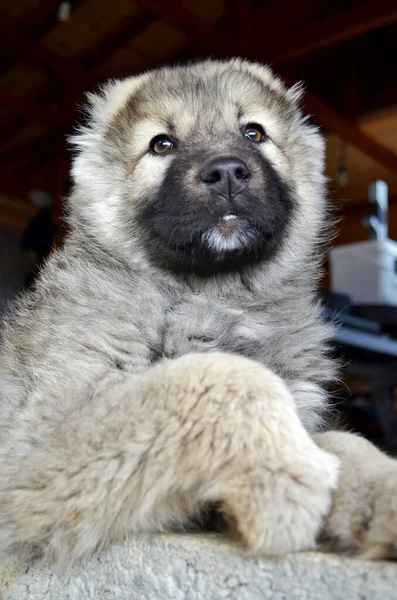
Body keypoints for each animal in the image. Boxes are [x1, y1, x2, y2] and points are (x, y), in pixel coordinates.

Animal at [0, 58, 396, 560]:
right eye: (161, 144)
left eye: (253, 133)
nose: (226, 172)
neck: (213, 298)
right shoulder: (36, 451)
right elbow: (217, 377)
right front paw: (286, 478)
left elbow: (343, 440)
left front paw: (380, 486)